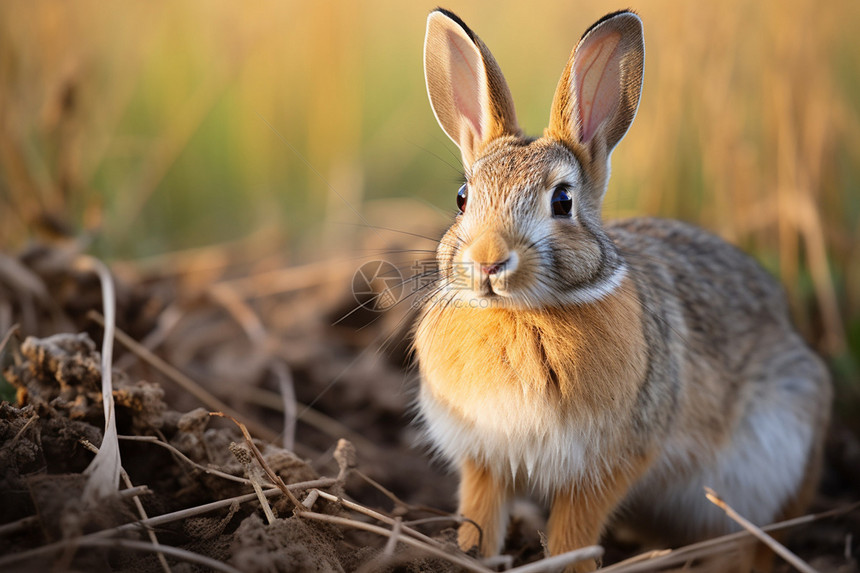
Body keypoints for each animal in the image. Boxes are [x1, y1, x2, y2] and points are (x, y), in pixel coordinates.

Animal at [414, 6, 828, 568]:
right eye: (462, 197)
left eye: (562, 201)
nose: (487, 262)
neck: (522, 313)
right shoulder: (485, 455)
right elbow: (481, 509)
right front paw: (468, 554)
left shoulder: (611, 458)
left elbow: (577, 527)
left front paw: (570, 565)